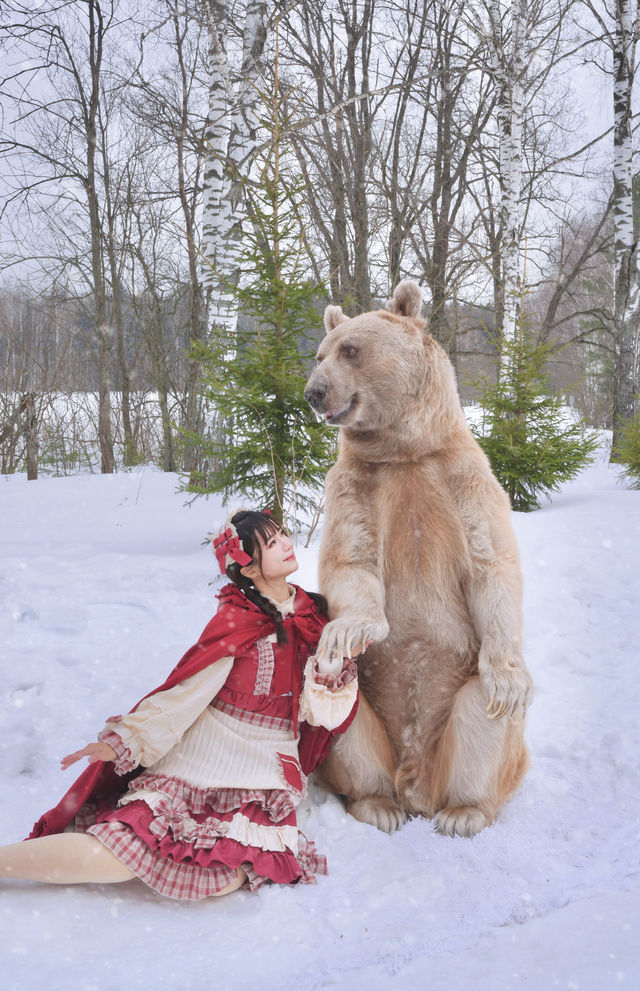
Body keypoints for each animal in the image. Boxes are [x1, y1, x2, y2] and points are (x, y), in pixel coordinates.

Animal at [302, 280, 532, 836]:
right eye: (319, 354)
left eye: (350, 349)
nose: (315, 392)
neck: (402, 451)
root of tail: (416, 783)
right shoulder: (354, 485)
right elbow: (350, 561)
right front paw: (349, 630)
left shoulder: (462, 477)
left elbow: (492, 564)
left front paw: (509, 678)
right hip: (368, 714)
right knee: (343, 718)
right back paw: (378, 805)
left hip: (459, 713)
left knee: (482, 712)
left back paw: (463, 813)